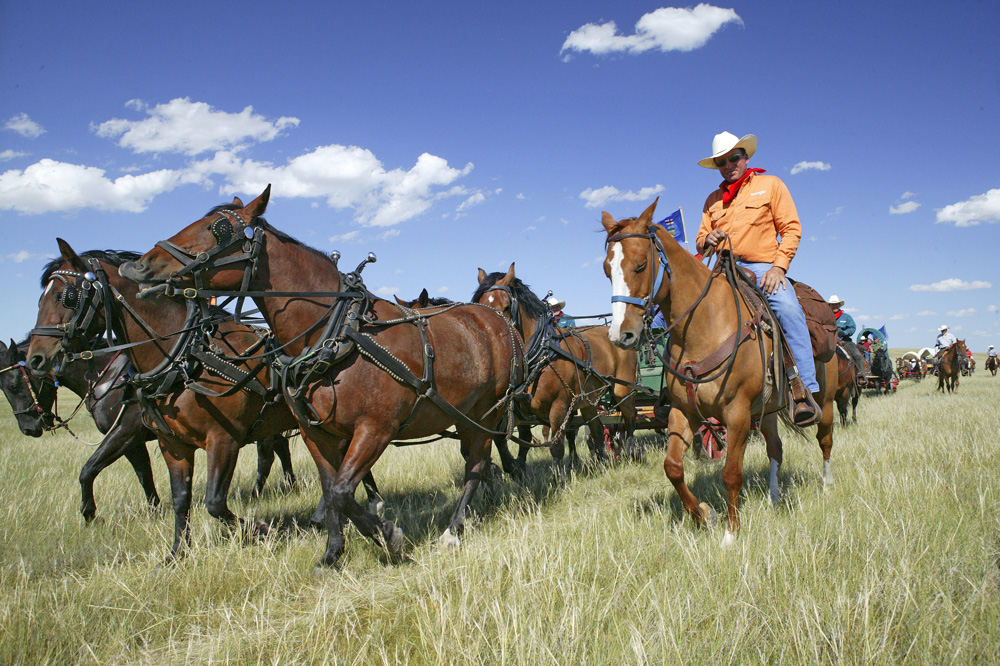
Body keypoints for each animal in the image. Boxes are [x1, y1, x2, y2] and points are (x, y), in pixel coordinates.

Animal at [24, 241, 328, 556]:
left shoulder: (222, 440)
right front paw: (177, 551)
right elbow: (179, 497)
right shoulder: (172, 444)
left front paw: (260, 528)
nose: (36, 358)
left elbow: (214, 502)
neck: (185, 357)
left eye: (65, 296)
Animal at [117, 185, 524, 564]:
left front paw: (388, 537)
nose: (137, 267)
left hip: (483, 413)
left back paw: (454, 529)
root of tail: (495, 320)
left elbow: (342, 492)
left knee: (476, 464)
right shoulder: (316, 433)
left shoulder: (374, 430)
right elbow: (332, 493)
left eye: (218, 228)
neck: (337, 334)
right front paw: (333, 553)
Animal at [472, 264, 636, 466]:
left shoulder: (559, 407)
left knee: (630, 419)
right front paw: (517, 469)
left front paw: (560, 474)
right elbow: (520, 442)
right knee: (597, 430)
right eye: (480, 304)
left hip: (623, 390)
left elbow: (556, 446)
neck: (542, 352)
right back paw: (600, 462)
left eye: (507, 306)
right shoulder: (520, 412)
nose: (490, 333)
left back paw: (631, 451)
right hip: (589, 401)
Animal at [596, 198, 840, 544]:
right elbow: (672, 467)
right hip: (767, 411)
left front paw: (730, 533)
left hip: (826, 399)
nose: (621, 335)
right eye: (607, 270)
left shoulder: (736, 415)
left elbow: (731, 473)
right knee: (775, 449)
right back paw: (774, 497)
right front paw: (704, 515)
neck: (704, 326)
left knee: (825, 438)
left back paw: (828, 485)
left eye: (641, 264)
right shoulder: (683, 411)